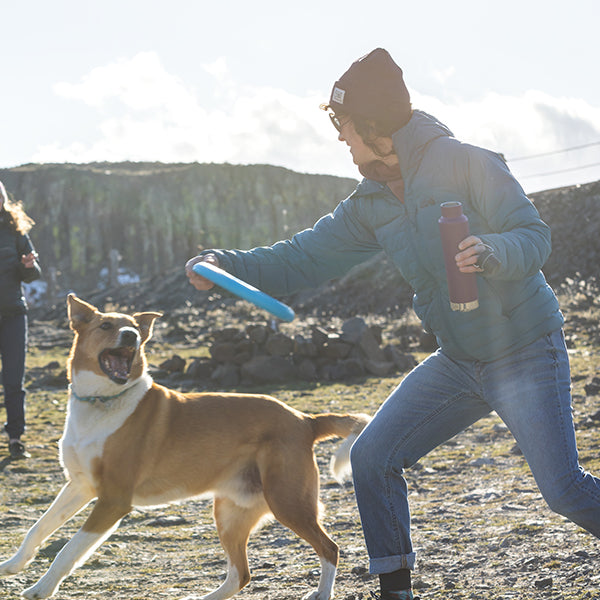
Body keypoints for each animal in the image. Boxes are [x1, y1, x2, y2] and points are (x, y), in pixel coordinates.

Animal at [0, 296, 370, 600]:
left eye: (133, 328)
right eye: (106, 326)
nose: (131, 337)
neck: (101, 401)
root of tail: (306, 419)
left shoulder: (113, 500)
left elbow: (69, 550)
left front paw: (41, 588)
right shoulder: (80, 485)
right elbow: (38, 527)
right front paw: (13, 565)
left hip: (288, 502)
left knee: (330, 548)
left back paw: (323, 592)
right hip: (229, 513)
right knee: (241, 575)